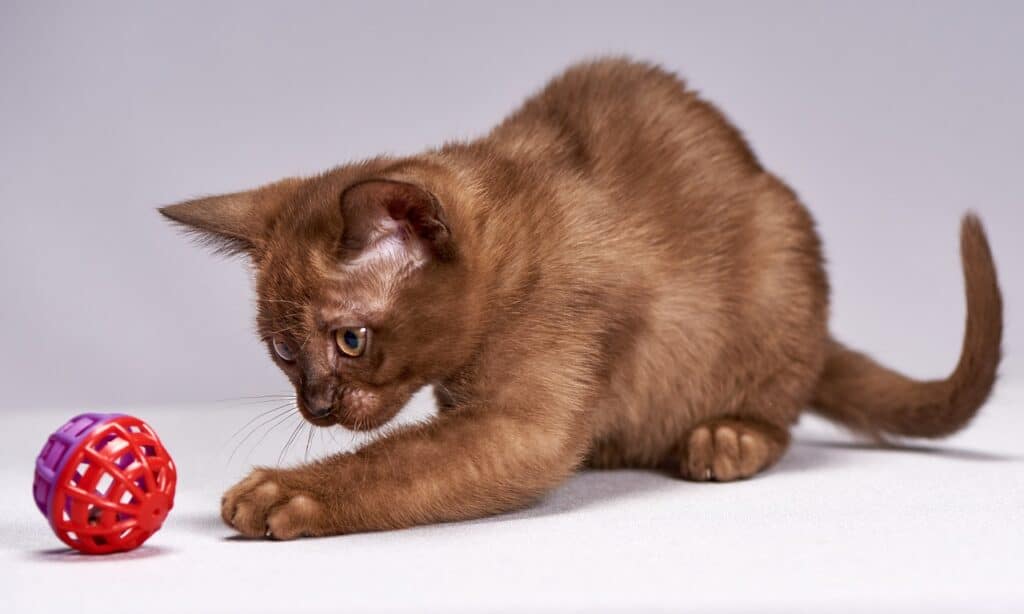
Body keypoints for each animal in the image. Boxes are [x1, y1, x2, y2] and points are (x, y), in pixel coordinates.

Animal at [157, 57, 999, 536]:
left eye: (350, 341)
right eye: (283, 351)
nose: (318, 407)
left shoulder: (521, 426)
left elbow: (391, 463)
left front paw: (279, 493)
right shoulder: (484, 412)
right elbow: (415, 448)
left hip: (779, 261)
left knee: (780, 406)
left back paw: (725, 438)